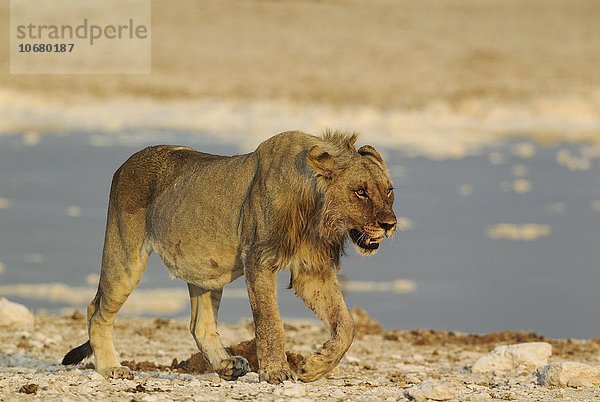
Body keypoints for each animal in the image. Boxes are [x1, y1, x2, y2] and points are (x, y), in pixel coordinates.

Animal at [63, 130, 396, 384]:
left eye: (389, 190)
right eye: (360, 192)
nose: (390, 224)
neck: (316, 212)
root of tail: (125, 164)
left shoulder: (312, 270)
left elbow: (346, 325)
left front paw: (314, 366)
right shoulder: (259, 259)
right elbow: (270, 323)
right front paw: (276, 372)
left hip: (204, 270)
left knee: (199, 325)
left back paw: (227, 365)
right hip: (125, 257)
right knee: (96, 310)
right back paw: (111, 367)